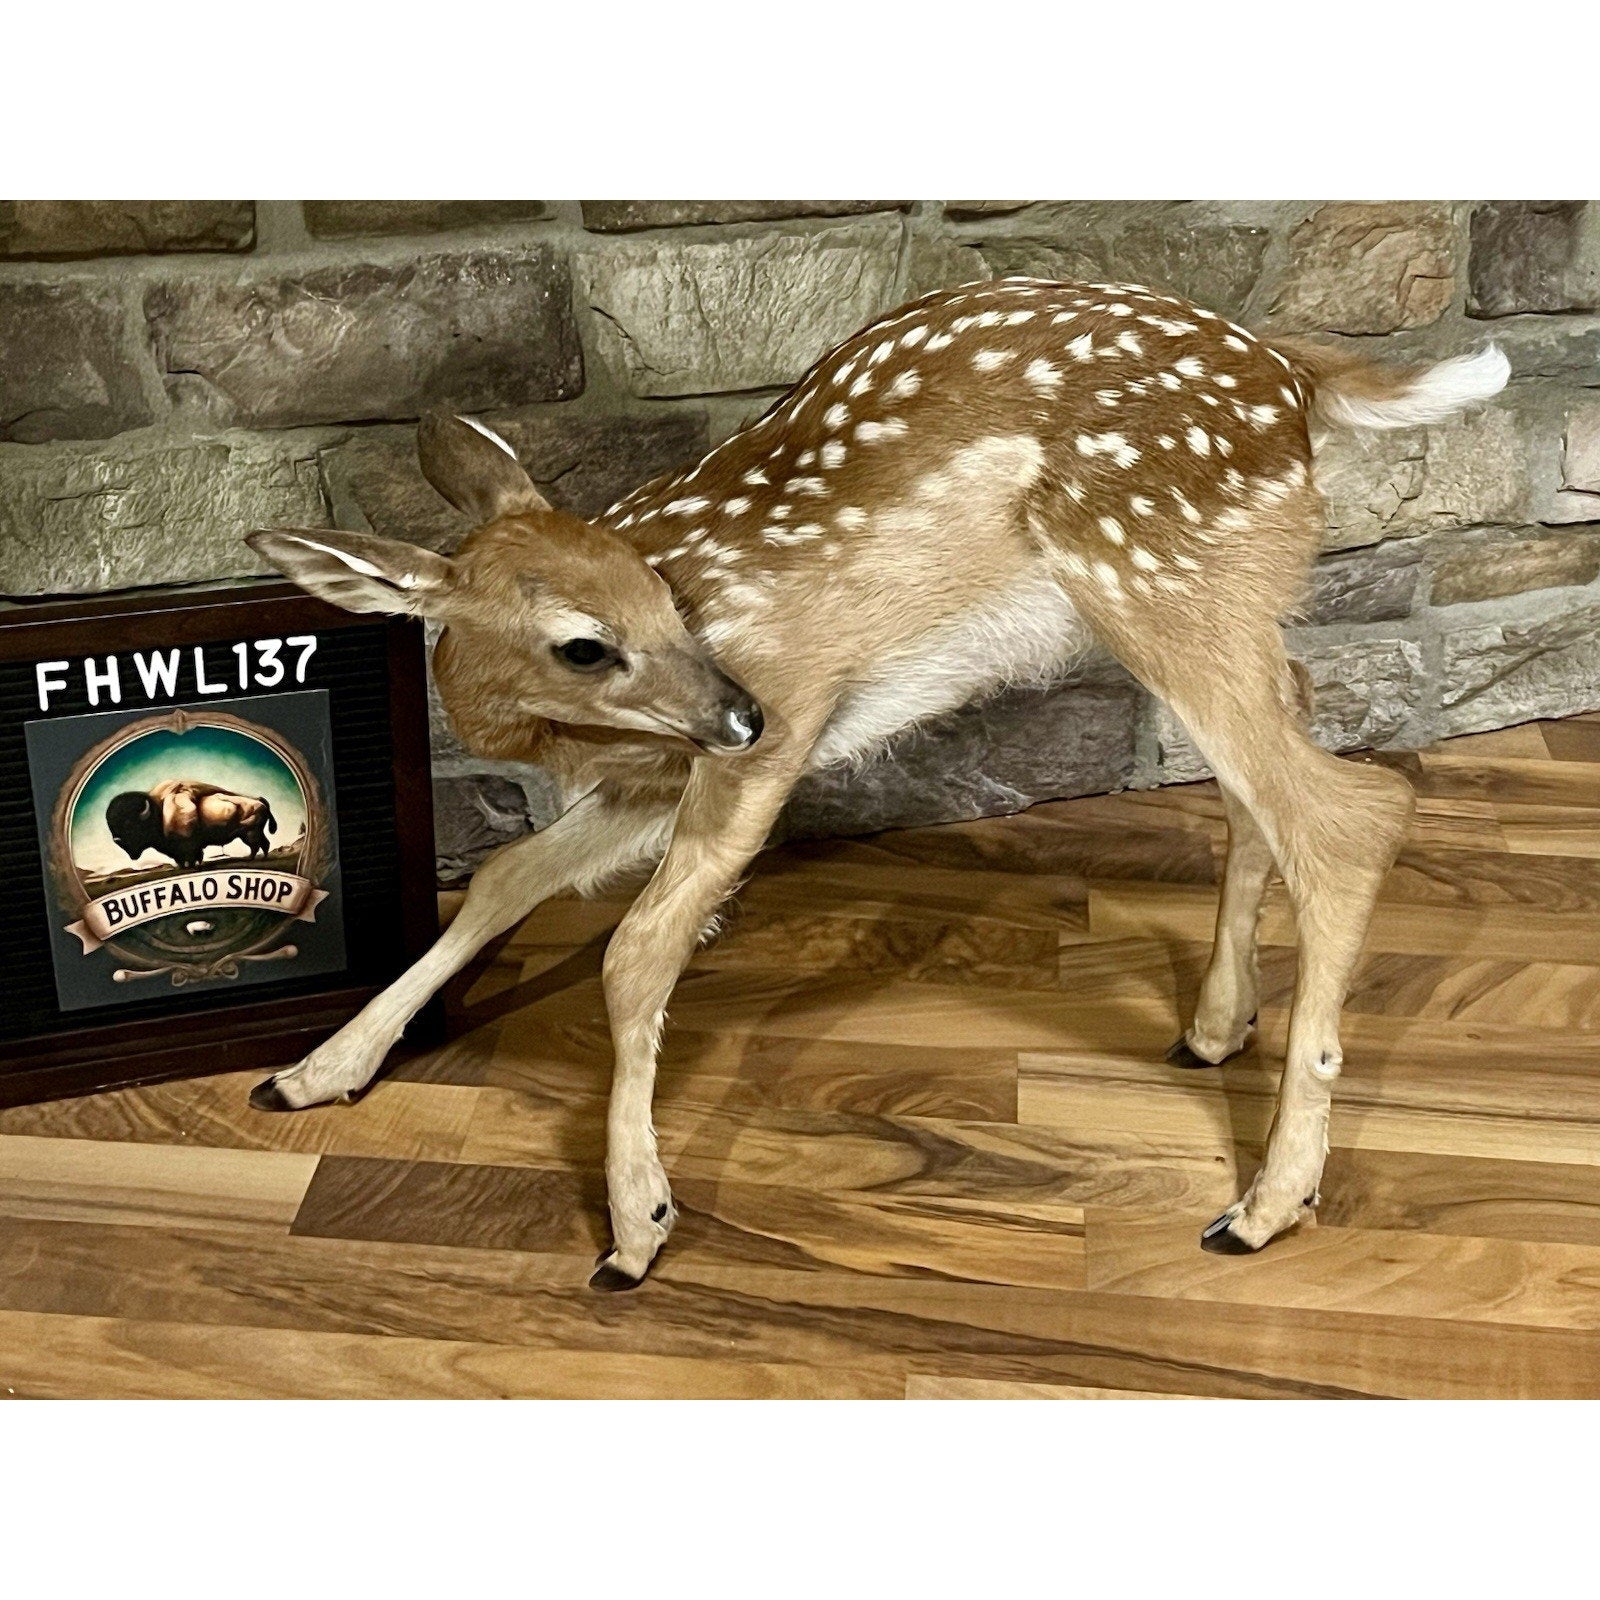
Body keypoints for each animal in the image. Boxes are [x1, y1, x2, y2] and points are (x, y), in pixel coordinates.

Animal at [246, 276, 1510, 1289]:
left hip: (1156, 575)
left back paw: (1263, 1202)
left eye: (664, 599)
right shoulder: (656, 770)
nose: (736, 710)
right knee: (1290, 734)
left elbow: (634, 951)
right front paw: (315, 1071)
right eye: (584, 644)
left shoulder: (781, 719)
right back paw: (1212, 1027)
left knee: (1350, 813)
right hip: (1213, 600)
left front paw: (636, 1224)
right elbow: (507, 873)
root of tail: (1294, 376)